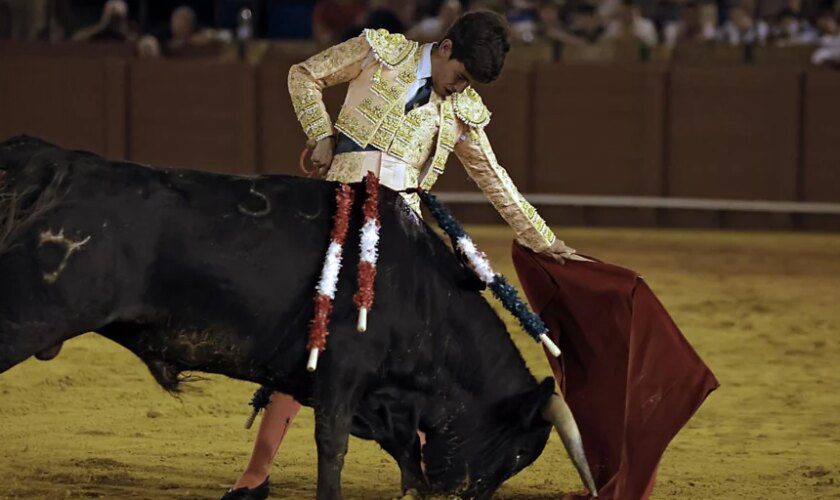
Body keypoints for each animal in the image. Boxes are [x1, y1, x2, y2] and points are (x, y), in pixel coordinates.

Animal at [3, 135, 560, 498]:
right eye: (517, 455)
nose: (461, 495)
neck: (423, 292)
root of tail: (60, 164)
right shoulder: (344, 372)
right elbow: (332, 446)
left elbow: (401, 456)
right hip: (29, 315)